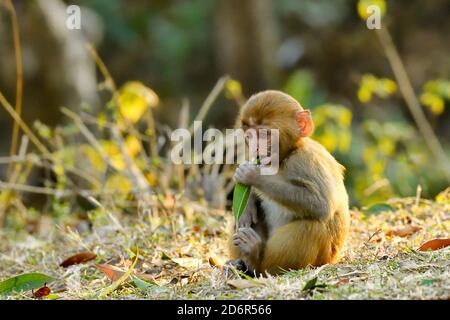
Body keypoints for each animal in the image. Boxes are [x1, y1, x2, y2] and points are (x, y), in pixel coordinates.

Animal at [227, 89, 350, 276]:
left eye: (264, 134)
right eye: (250, 136)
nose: (256, 149)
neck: (285, 156)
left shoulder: (306, 160)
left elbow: (322, 204)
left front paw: (253, 175)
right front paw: (247, 207)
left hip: (320, 259)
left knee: (311, 226)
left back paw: (255, 258)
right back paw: (244, 263)